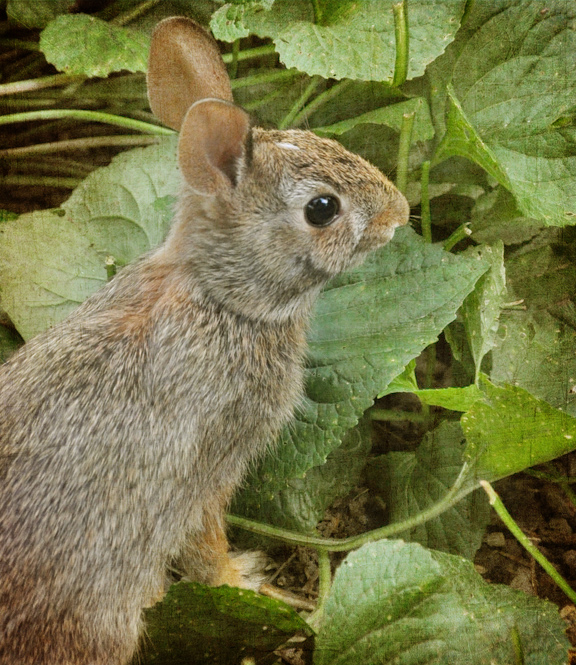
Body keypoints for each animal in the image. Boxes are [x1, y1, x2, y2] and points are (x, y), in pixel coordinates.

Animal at [0, 16, 409, 665]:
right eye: (323, 208)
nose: (401, 213)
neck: (223, 297)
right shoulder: (209, 464)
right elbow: (204, 543)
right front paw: (246, 582)